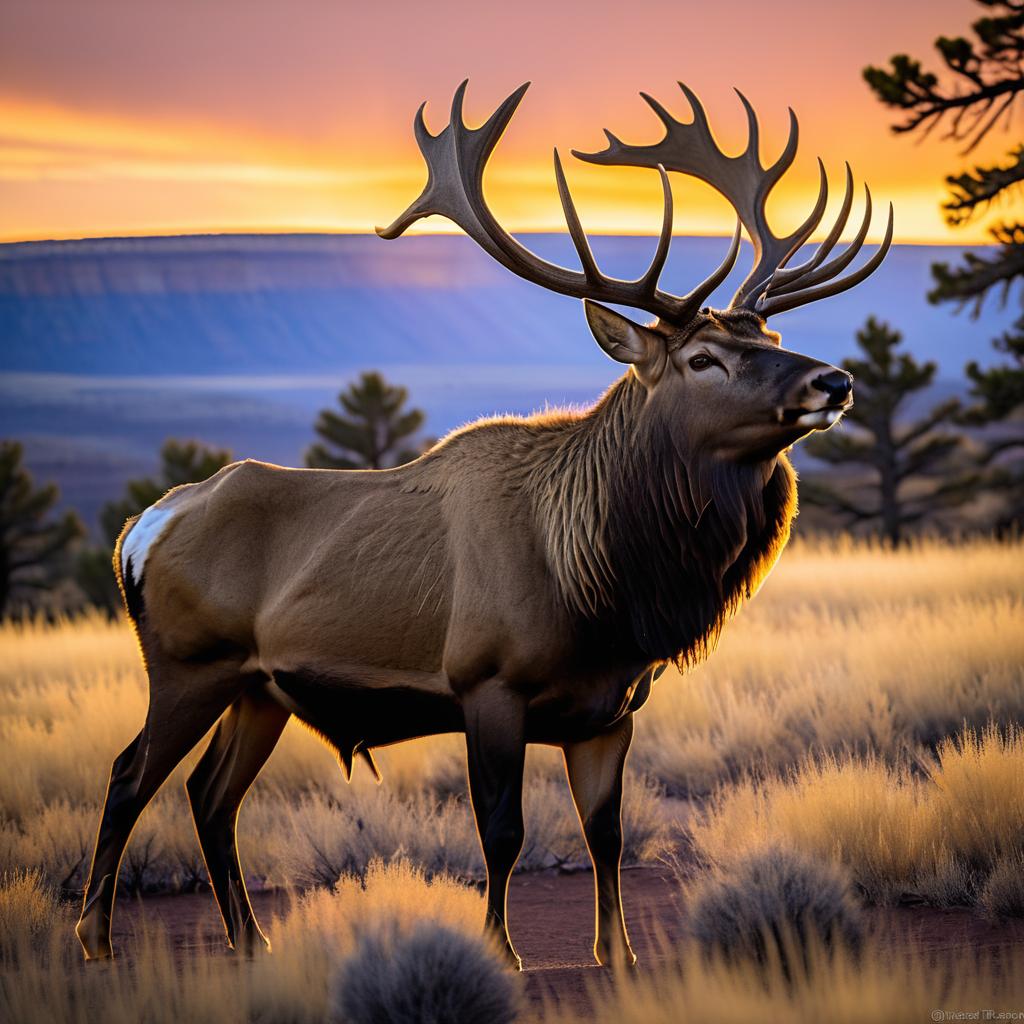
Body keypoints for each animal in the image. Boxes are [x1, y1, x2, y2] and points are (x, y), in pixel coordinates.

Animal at [75, 79, 892, 966]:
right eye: (702, 358)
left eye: (771, 333)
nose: (835, 380)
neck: (603, 586)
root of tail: (140, 531)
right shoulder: (486, 682)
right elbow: (502, 833)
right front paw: (504, 951)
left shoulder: (612, 708)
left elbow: (606, 836)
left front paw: (620, 953)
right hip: (190, 664)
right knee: (129, 776)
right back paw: (96, 939)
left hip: (261, 688)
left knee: (209, 794)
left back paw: (250, 941)